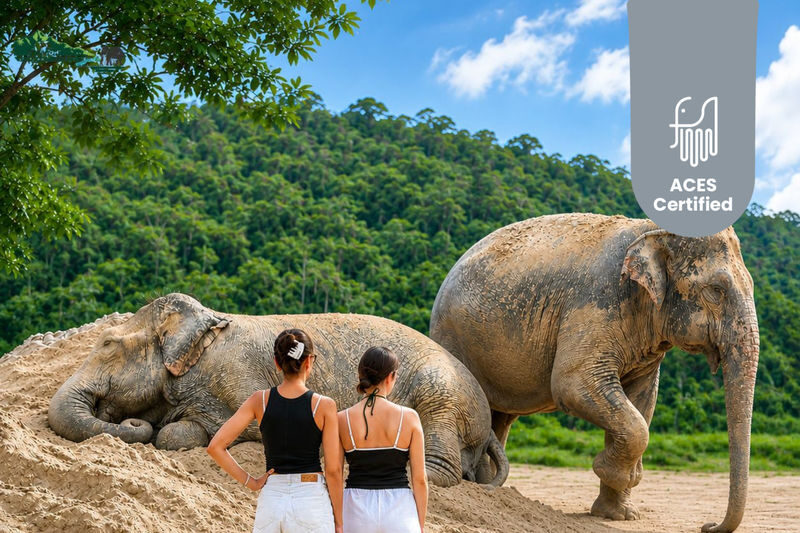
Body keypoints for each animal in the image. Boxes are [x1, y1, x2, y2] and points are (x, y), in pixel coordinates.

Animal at [48, 293, 509, 488]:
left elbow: (211, 430)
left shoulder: (240, 377)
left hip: (445, 394)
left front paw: (172, 429)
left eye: (107, 345)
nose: (129, 419)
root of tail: (487, 428)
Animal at [429, 213, 759, 532]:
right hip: (453, 337)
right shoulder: (596, 301)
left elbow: (642, 401)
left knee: (499, 417)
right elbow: (573, 385)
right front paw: (611, 471)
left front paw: (620, 514)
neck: (651, 228)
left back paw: (485, 486)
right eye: (715, 291)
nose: (707, 525)